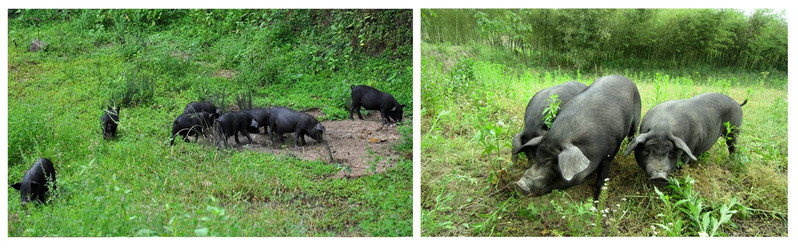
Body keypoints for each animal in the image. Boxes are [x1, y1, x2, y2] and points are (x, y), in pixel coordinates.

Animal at [512, 74, 644, 199]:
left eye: (554, 163)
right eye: (536, 156)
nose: (519, 185)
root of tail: (625, 78)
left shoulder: (610, 153)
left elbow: (602, 180)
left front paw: (596, 202)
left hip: (636, 118)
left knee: (632, 134)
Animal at [624, 92, 752, 184]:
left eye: (670, 152)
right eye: (647, 151)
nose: (659, 176)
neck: (661, 128)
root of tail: (736, 103)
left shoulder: (690, 146)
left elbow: (683, 163)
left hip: (735, 129)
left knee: (732, 146)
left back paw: (731, 160)